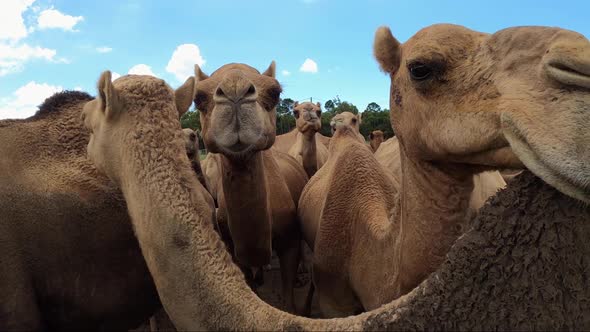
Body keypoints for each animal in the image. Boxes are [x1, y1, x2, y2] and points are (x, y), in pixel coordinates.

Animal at [192, 62, 310, 314]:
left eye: (275, 92)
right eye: (198, 97)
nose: (235, 90)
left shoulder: (290, 238)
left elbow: (288, 294)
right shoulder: (232, 246)